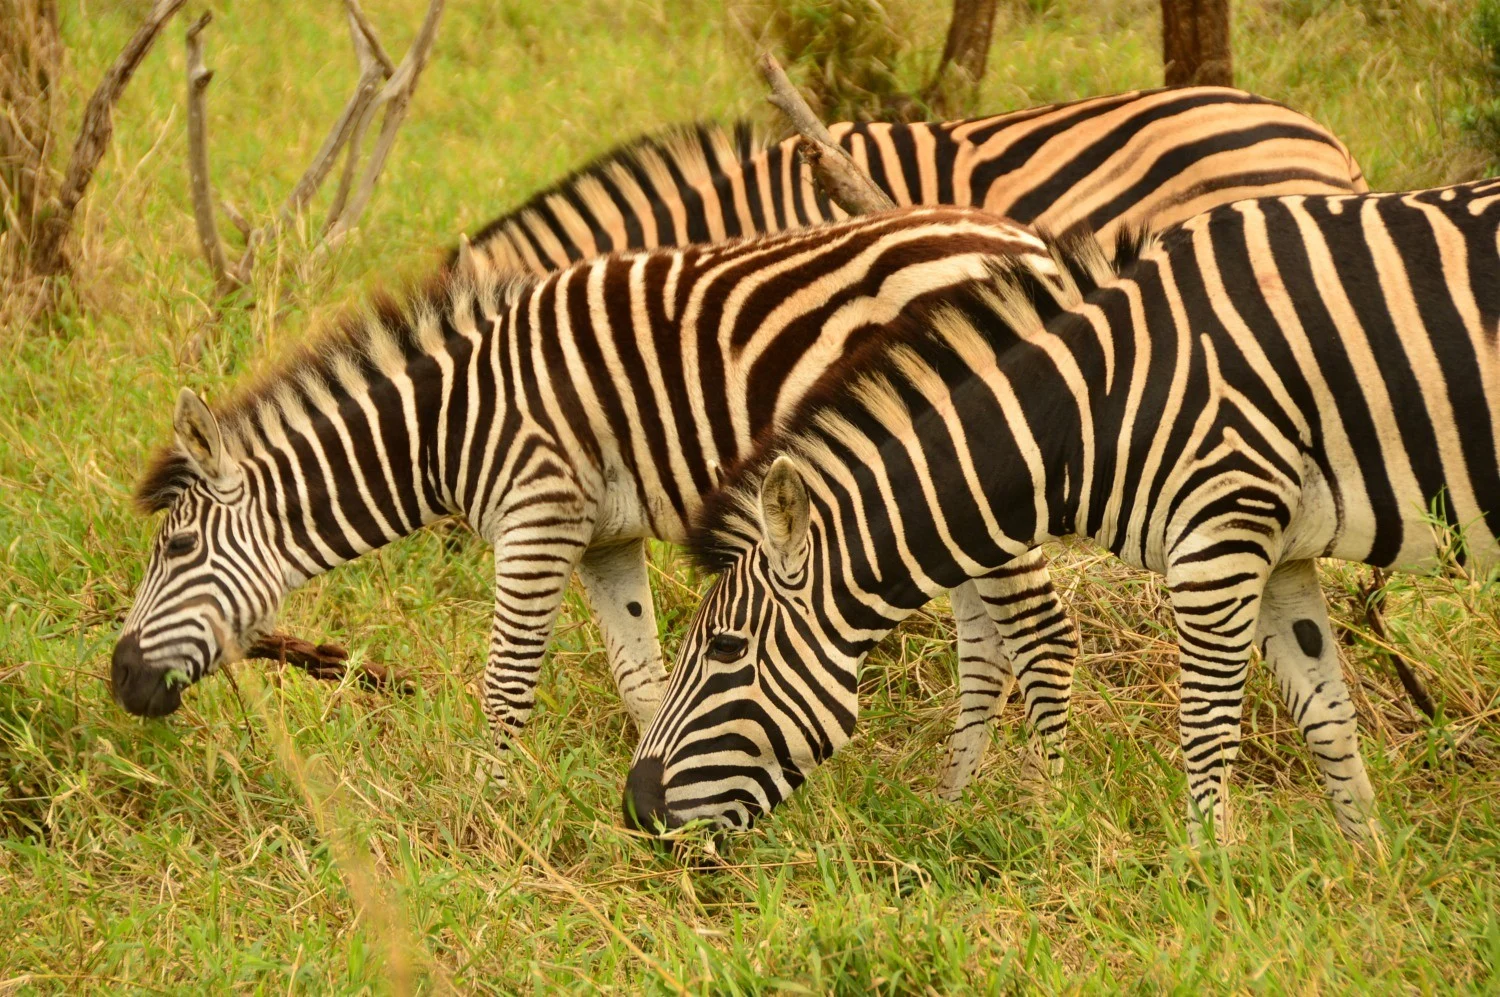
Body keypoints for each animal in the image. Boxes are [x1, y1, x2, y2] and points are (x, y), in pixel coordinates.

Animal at [111, 207, 1083, 799]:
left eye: (176, 551)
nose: (118, 678)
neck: (449, 420)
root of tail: (1025, 242)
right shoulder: (602, 540)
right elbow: (643, 684)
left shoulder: (539, 514)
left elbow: (505, 685)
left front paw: (484, 821)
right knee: (987, 639)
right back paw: (953, 800)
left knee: (1040, 634)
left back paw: (1042, 810)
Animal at [624, 179, 1500, 846]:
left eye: (727, 649)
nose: (635, 810)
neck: (1101, 399)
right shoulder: (1280, 549)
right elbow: (1327, 716)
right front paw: (1367, 864)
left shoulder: (1219, 531)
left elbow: (1207, 725)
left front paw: (1210, 874)